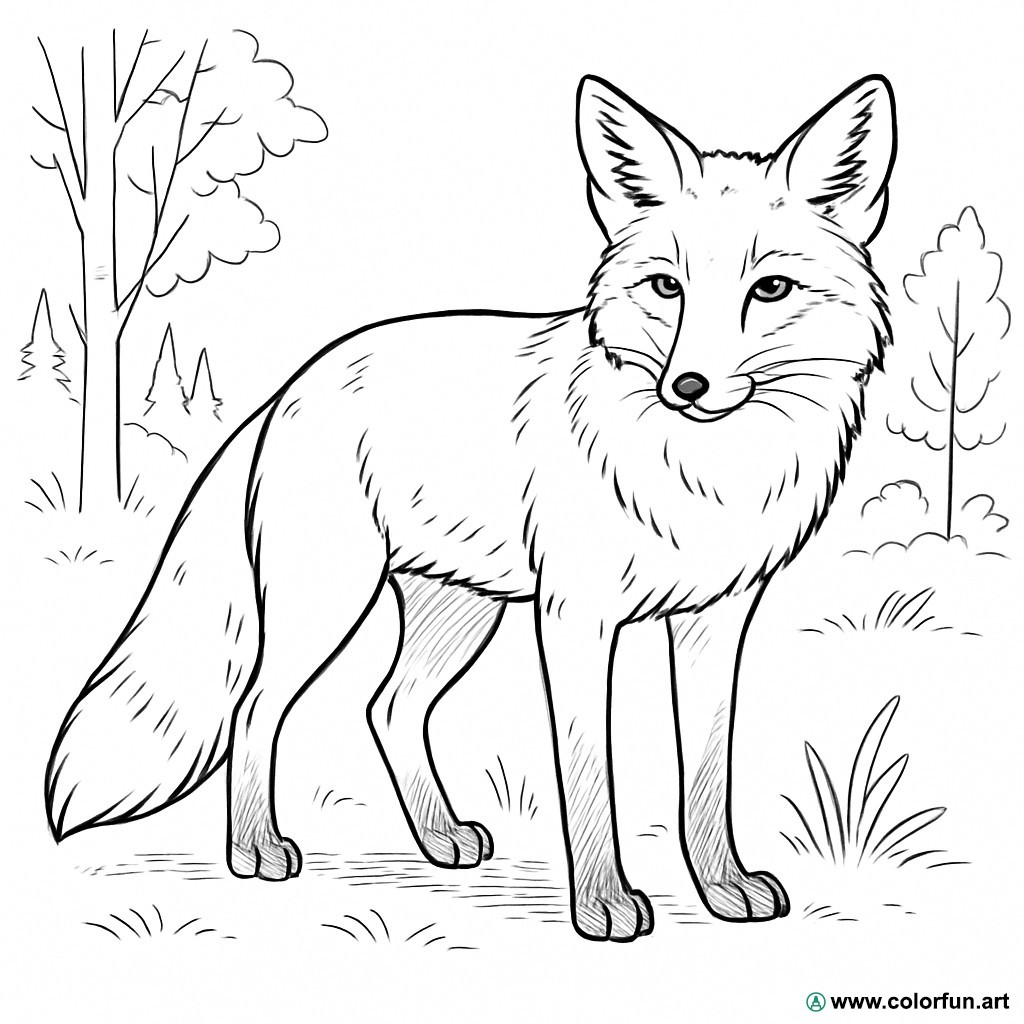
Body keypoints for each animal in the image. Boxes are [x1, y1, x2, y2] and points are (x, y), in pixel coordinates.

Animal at [45, 73, 895, 941]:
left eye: (770, 290)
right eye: (667, 287)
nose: (687, 386)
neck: (704, 475)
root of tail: (291, 384)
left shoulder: (714, 623)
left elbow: (707, 774)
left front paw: (722, 889)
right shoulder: (574, 619)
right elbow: (590, 775)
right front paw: (602, 905)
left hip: (460, 613)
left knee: (388, 708)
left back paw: (439, 838)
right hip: (328, 606)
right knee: (258, 709)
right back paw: (256, 851)